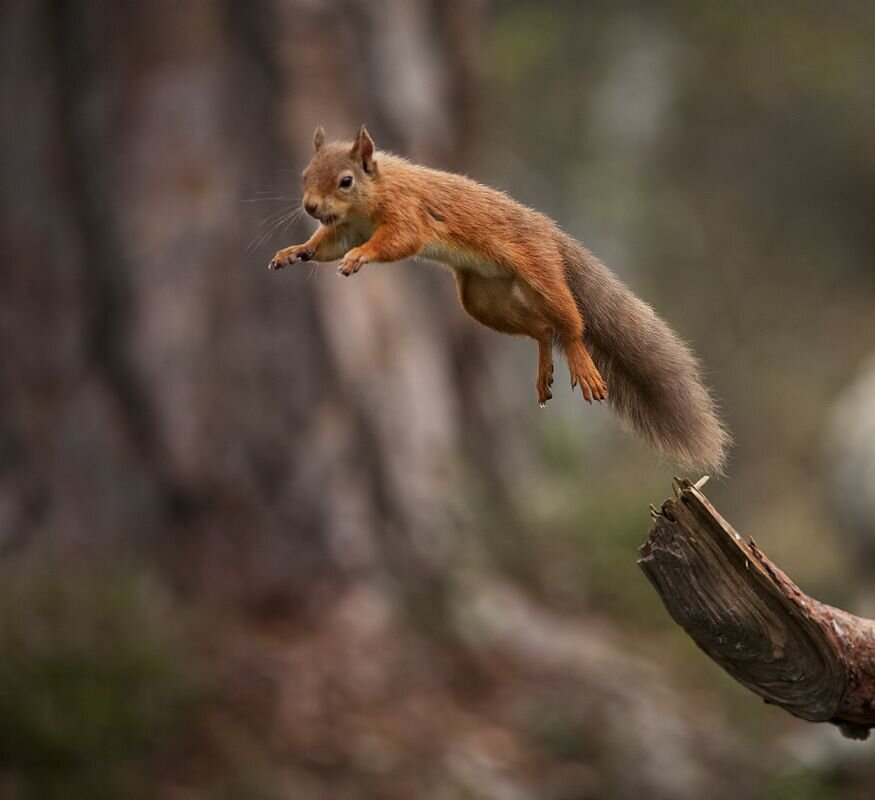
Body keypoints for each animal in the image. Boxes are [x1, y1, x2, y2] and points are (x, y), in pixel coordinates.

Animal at [268, 126, 732, 472]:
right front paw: (294, 251)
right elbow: (326, 245)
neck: (374, 192)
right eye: (305, 175)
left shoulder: (407, 213)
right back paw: (544, 371)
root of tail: (551, 233)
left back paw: (582, 364)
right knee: (542, 328)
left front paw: (359, 258)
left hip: (542, 274)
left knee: (569, 324)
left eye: (346, 181)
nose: (310, 207)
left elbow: (397, 241)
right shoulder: (347, 228)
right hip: (482, 300)